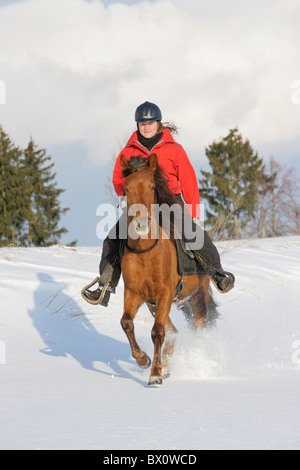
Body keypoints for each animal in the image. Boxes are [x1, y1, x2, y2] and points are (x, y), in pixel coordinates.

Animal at [119, 154, 218, 386]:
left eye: (152, 186)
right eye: (127, 188)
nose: (141, 223)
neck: (146, 252)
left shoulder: (165, 293)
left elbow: (157, 332)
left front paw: (155, 374)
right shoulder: (134, 293)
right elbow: (126, 323)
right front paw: (143, 360)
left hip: (198, 296)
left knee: (197, 328)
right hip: (154, 304)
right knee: (174, 332)